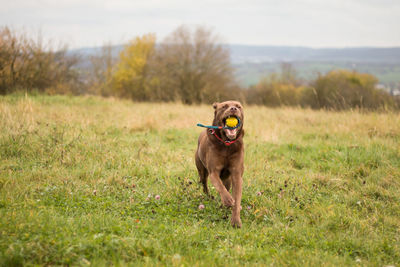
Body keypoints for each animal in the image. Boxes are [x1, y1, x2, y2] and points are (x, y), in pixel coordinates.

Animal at [195, 100, 245, 228]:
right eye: (224, 106)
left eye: (238, 106)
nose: (233, 109)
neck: (226, 143)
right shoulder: (213, 172)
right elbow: (220, 187)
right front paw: (228, 200)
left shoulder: (236, 175)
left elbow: (237, 197)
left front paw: (236, 220)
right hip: (202, 171)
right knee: (205, 185)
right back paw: (210, 197)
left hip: (227, 179)